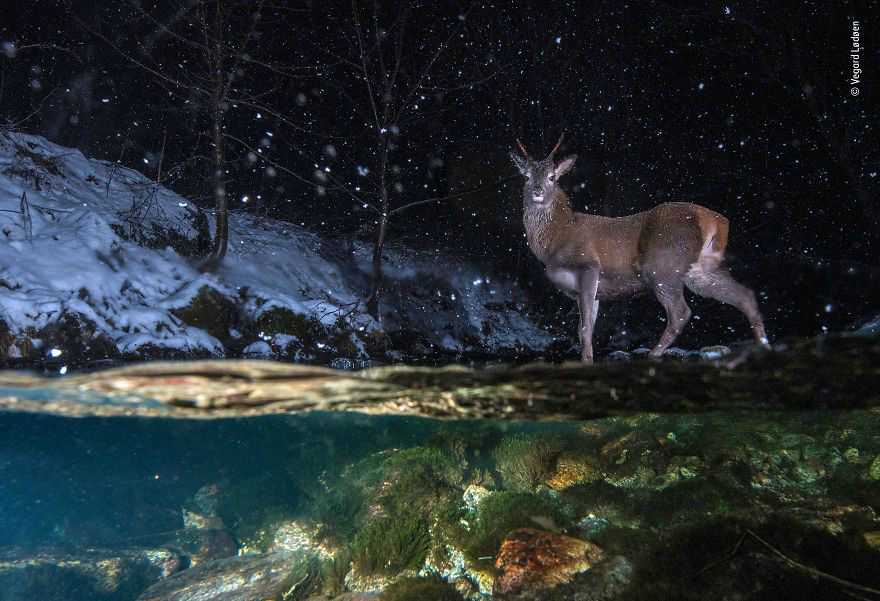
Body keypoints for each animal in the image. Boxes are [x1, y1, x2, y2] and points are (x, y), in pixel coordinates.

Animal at [508, 135, 768, 360]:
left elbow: (584, 330)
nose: (537, 190)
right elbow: (587, 328)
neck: (556, 239)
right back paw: (764, 346)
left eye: (552, 177)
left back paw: (652, 355)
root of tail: (715, 221)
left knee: (680, 313)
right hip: (701, 271)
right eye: (527, 176)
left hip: (663, 265)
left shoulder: (588, 266)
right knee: (746, 296)